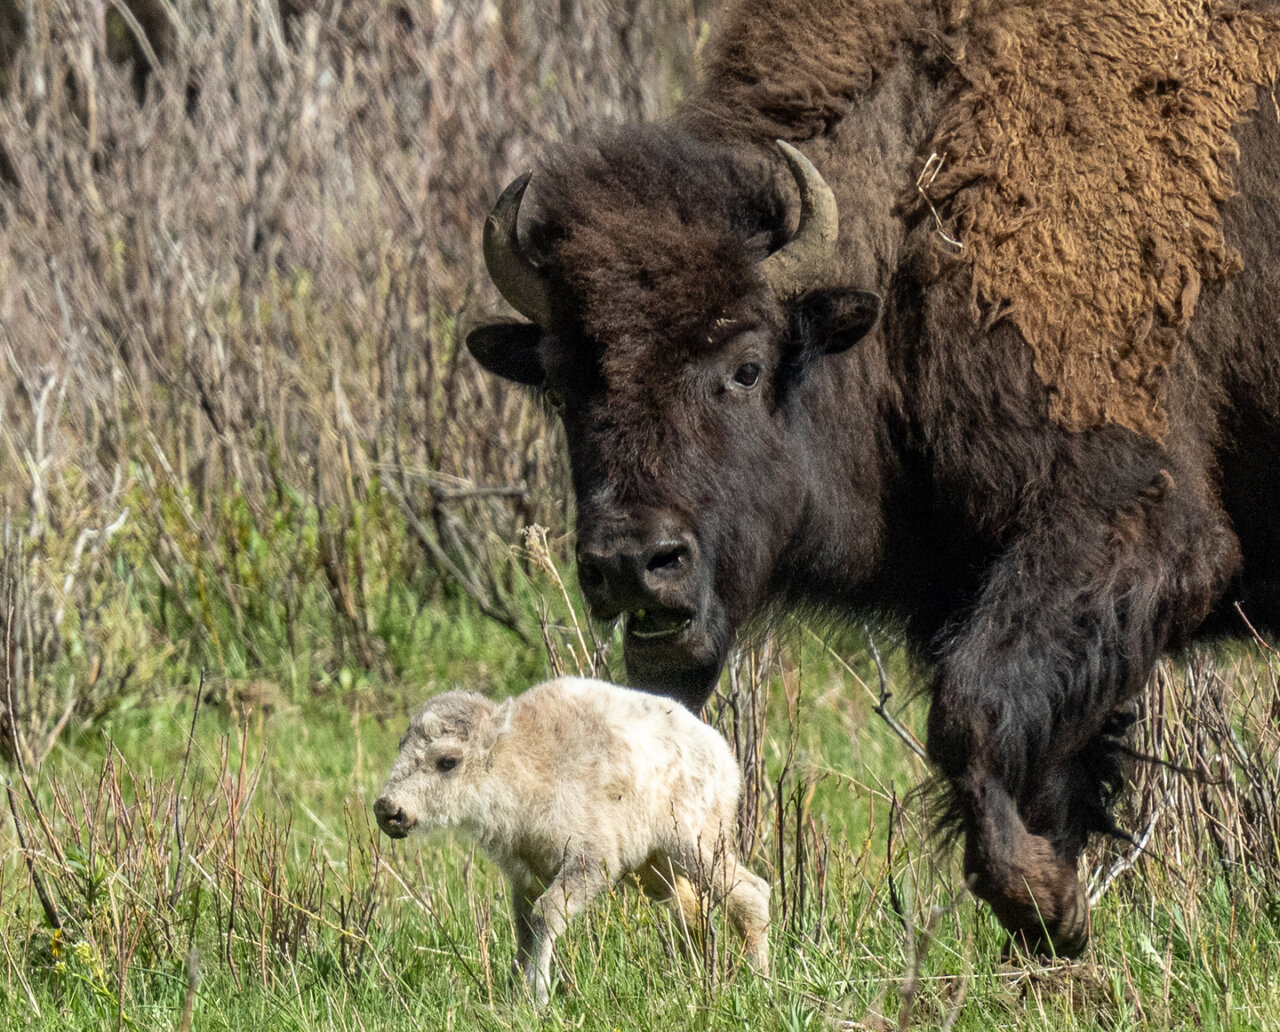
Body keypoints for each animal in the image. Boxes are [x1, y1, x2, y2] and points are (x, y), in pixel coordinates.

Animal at [463, 0, 1280, 957]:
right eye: (559, 385)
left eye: (746, 367)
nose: (634, 563)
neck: (920, 204)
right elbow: (1035, 764)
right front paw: (1055, 922)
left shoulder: (1131, 525)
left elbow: (969, 715)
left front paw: (1043, 905)